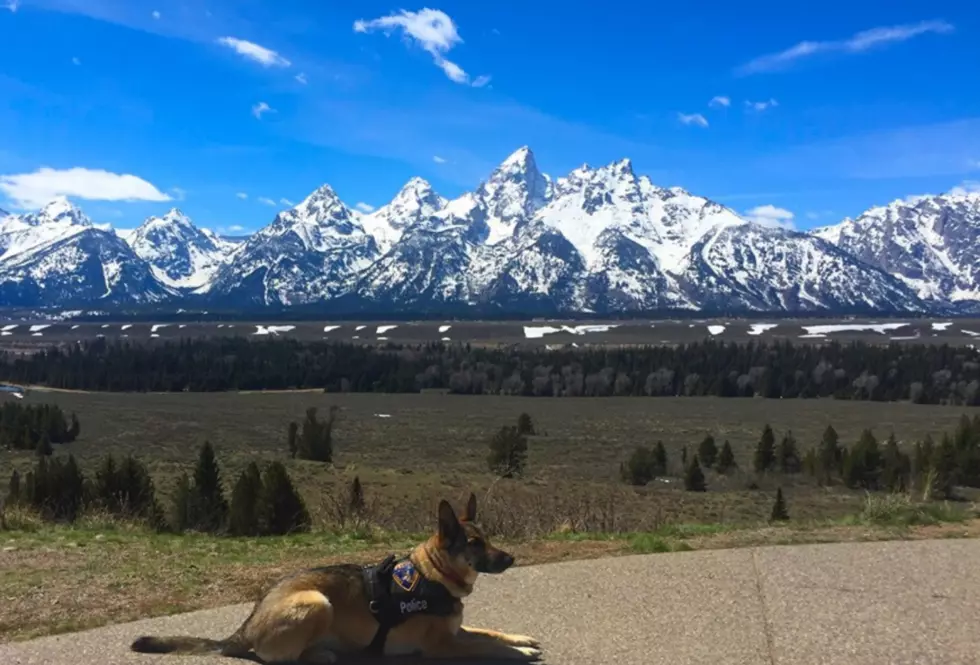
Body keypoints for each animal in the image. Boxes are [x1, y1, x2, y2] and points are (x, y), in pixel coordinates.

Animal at [128, 492, 544, 660]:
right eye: (474, 543)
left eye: (487, 538)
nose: (512, 557)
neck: (435, 575)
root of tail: (245, 627)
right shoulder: (443, 646)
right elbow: (485, 646)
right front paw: (519, 652)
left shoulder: (457, 630)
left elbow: (489, 631)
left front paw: (520, 638)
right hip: (317, 602)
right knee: (279, 658)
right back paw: (322, 654)